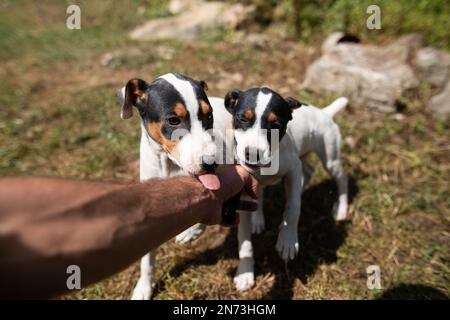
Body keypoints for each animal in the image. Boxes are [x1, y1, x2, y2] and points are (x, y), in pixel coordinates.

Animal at [118, 73, 218, 300]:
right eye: (173, 120)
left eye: (209, 116)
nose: (212, 163)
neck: (169, 165)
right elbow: (147, 259)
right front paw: (144, 287)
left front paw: (191, 232)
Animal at [209, 87, 350, 290]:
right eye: (243, 118)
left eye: (276, 124)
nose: (253, 154)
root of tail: (324, 113)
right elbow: (244, 240)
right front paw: (245, 273)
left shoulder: (293, 168)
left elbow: (292, 207)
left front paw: (288, 240)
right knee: (307, 170)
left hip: (330, 157)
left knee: (341, 178)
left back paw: (341, 209)